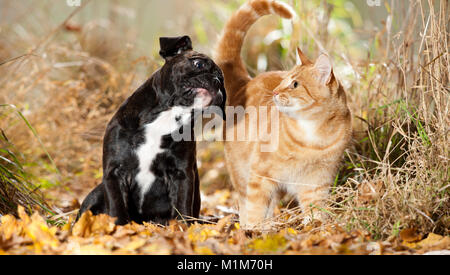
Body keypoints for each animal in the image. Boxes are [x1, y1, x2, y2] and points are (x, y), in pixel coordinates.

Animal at [78, 36, 227, 226]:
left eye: (222, 80)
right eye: (198, 63)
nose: (216, 81)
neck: (166, 117)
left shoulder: (181, 174)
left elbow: (183, 207)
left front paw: (184, 228)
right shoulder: (115, 173)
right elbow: (117, 208)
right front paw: (119, 228)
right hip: (96, 194)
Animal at [214, 0, 352, 231]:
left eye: (294, 84)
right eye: (283, 79)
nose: (275, 92)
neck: (313, 136)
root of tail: (245, 82)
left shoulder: (316, 181)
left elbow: (315, 208)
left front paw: (315, 226)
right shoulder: (259, 176)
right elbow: (254, 208)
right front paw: (253, 230)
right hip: (241, 172)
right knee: (246, 203)